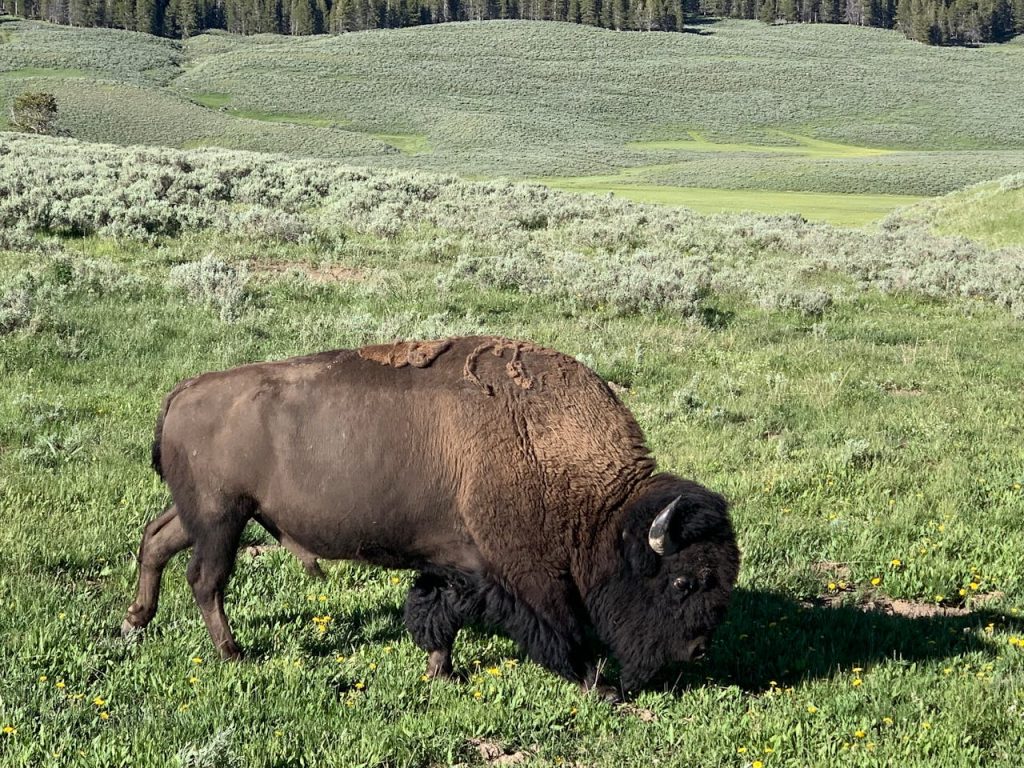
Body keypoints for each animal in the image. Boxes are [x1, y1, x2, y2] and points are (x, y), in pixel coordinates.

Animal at [123, 335, 741, 692]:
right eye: (683, 581)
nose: (696, 650)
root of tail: (184, 391)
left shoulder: (454, 565)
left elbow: (438, 615)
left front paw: (440, 672)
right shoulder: (526, 576)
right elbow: (562, 630)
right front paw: (599, 685)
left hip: (202, 514)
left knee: (156, 541)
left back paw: (135, 622)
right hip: (222, 518)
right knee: (206, 578)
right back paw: (232, 654)